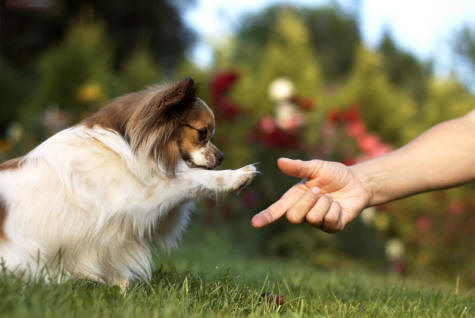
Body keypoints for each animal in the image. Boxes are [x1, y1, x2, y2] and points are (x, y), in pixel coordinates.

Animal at [0, 77, 256, 290]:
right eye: (202, 133)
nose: (221, 157)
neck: (127, 143)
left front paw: (123, 293)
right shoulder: (142, 197)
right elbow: (196, 179)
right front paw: (239, 175)